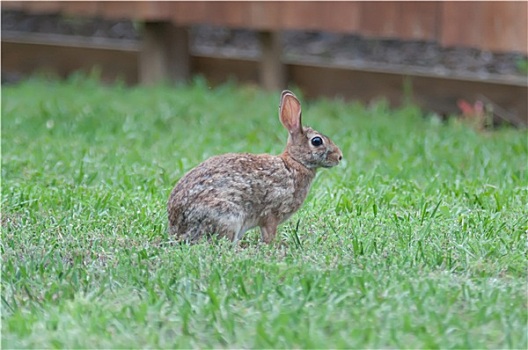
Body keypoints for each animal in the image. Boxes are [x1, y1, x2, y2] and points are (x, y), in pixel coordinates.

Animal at [167, 90, 344, 243]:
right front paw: (272, 245)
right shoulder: (272, 213)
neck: (294, 163)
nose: (339, 157)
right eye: (317, 141)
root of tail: (177, 229)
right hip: (227, 215)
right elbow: (269, 233)